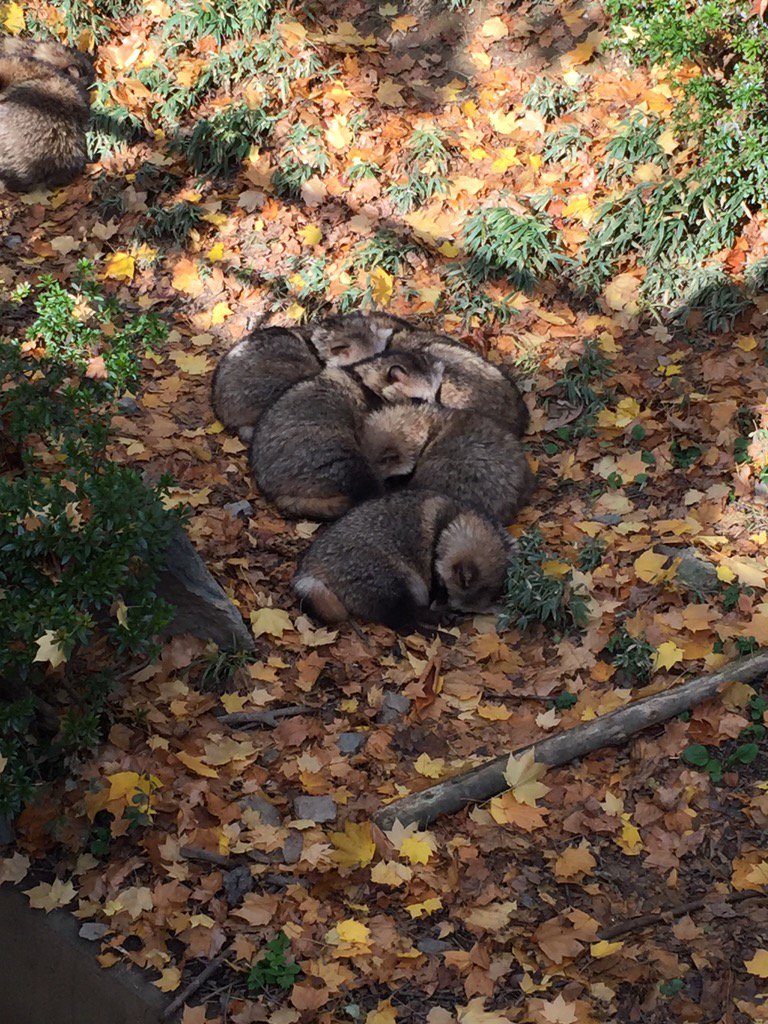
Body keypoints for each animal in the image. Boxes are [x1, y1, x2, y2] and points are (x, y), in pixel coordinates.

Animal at [250, 348, 444, 520]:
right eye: (418, 399)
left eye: (436, 395)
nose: (438, 410)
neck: (367, 374)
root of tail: (273, 488)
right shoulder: (373, 413)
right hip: (319, 451)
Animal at [292, 489, 512, 626]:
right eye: (442, 590)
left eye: (460, 610)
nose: (433, 604)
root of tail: (313, 564)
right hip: (372, 568)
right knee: (396, 606)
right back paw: (419, 617)